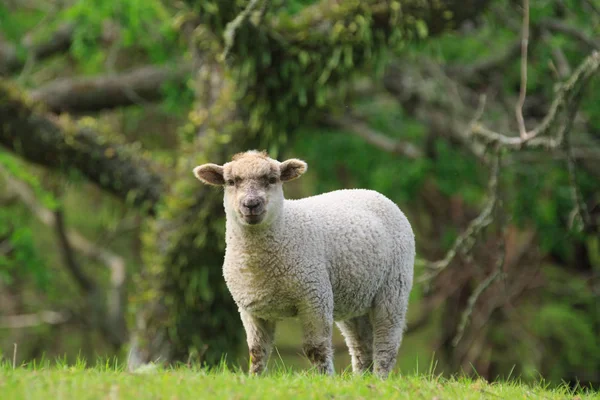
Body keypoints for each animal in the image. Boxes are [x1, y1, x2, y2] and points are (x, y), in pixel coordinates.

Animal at [195, 150, 414, 378]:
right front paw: (254, 378)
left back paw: (380, 378)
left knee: (386, 342)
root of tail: (371, 192)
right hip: (353, 295)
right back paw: (362, 380)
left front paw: (325, 379)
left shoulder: (315, 297)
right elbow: (257, 351)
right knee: (361, 345)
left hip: (393, 286)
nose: (251, 204)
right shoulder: (250, 310)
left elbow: (315, 348)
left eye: (272, 179)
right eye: (230, 182)